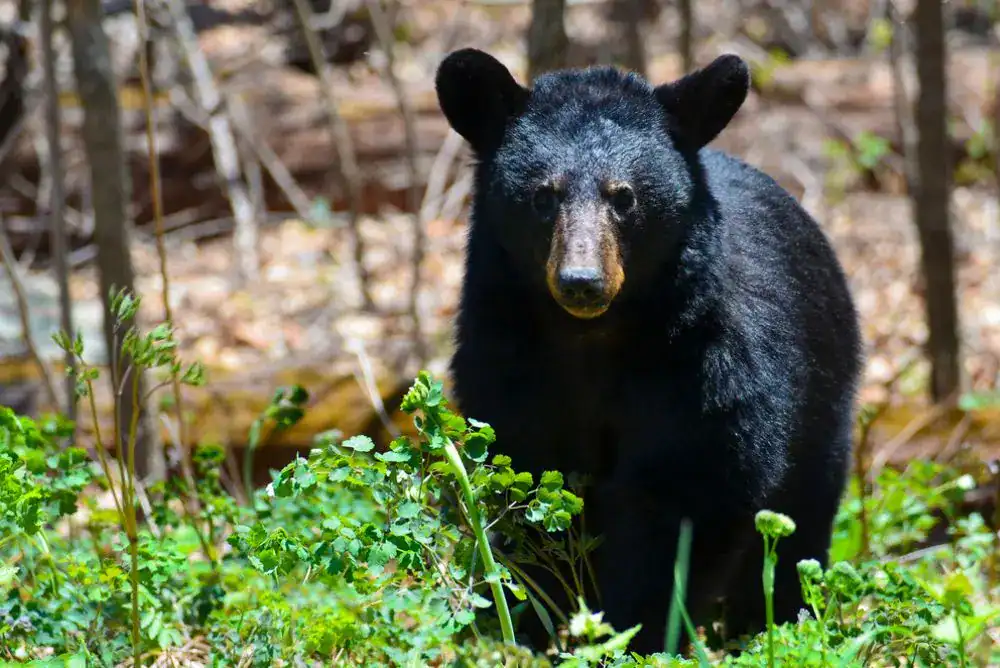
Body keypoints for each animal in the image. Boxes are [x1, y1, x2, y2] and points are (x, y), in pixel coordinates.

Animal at [435, 48, 863, 656]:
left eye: (624, 196)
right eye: (543, 196)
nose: (581, 282)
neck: (592, 341)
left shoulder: (704, 366)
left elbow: (683, 496)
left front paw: (635, 630)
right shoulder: (505, 360)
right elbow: (525, 481)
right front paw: (537, 623)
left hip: (824, 395)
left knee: (799, 519)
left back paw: (774, 621)